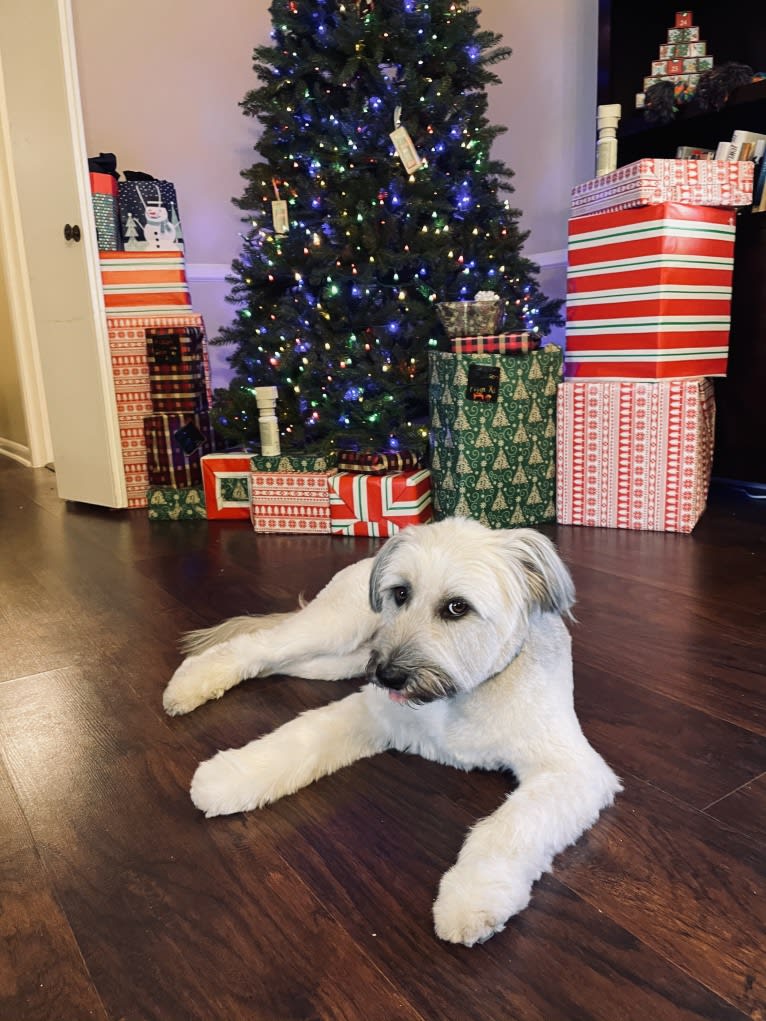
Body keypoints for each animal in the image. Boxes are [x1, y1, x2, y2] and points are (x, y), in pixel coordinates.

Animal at [165, 518, 620, 947]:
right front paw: (230, 777)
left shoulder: (571, 770)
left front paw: (472, 897)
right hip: (336, 631)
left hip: (335, 661)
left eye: (457, 607)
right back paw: (189, 684)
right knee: (256, 645)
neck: (462, 694)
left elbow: (509, 828)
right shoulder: (372, 710)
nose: (388, 675)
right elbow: (299, 737)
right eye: (401, 593)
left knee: (271, 661)